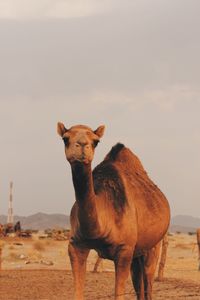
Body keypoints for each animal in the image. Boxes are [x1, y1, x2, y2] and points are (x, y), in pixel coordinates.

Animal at [57, 123, 170, 298]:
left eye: (96, 141)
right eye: (65, 138)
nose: (82, 145)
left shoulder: (124, 250)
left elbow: (119, 294)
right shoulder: (75, 246)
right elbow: (78, 293)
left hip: (154, 244)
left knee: (148, 283)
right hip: (137, 254)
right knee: (139, 285)